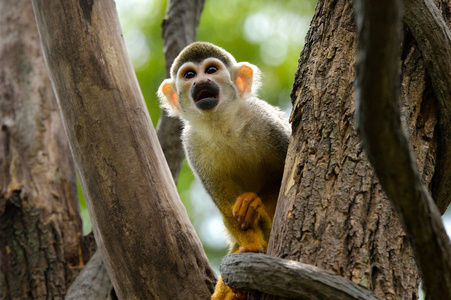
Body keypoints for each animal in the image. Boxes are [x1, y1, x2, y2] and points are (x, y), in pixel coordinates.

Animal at [159, 42, 292, 300]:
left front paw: (254, 203)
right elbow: (226, 205)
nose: (201, 81)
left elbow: (285, 173)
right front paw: (250, 246)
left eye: (211, 70)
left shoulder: (264, 119)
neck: (220, 123)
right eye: (189, 75)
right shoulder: (192, 144)